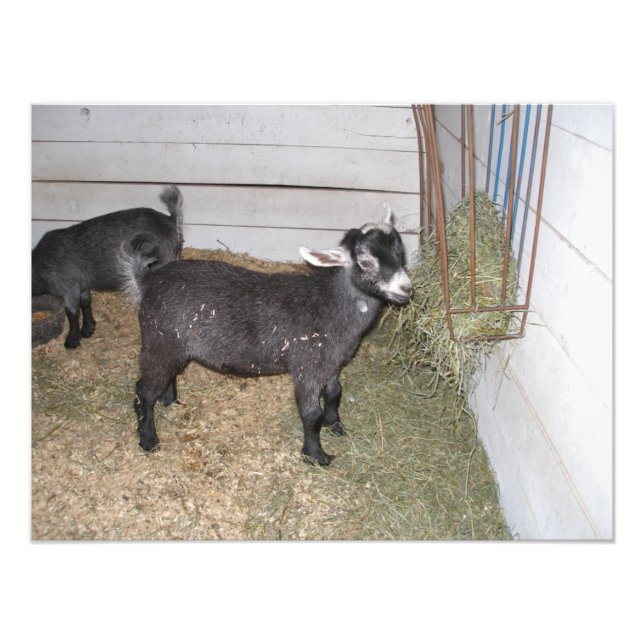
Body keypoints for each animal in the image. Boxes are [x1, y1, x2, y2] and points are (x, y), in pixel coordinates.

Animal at [32, 186, 184, 348]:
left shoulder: (69, 288)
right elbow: (85, 304)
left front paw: (71, 341)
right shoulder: (82, 285)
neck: (39, 264)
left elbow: (72, 314)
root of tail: (170, 220)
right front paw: (88, 329)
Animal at [119, 206, 412, 466]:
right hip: (159, 341)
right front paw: (316, 456)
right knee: (143, 391)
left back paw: (170, 401)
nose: (406, 288)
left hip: (174, 345)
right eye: (366, 262)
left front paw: (336, 426)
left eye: (400, 253)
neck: (331, 304)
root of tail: (146, 282)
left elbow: (334, 394)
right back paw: (149, 440)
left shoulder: (329, 363)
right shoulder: (306, 367)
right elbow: (311, 415)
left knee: (167, 375)